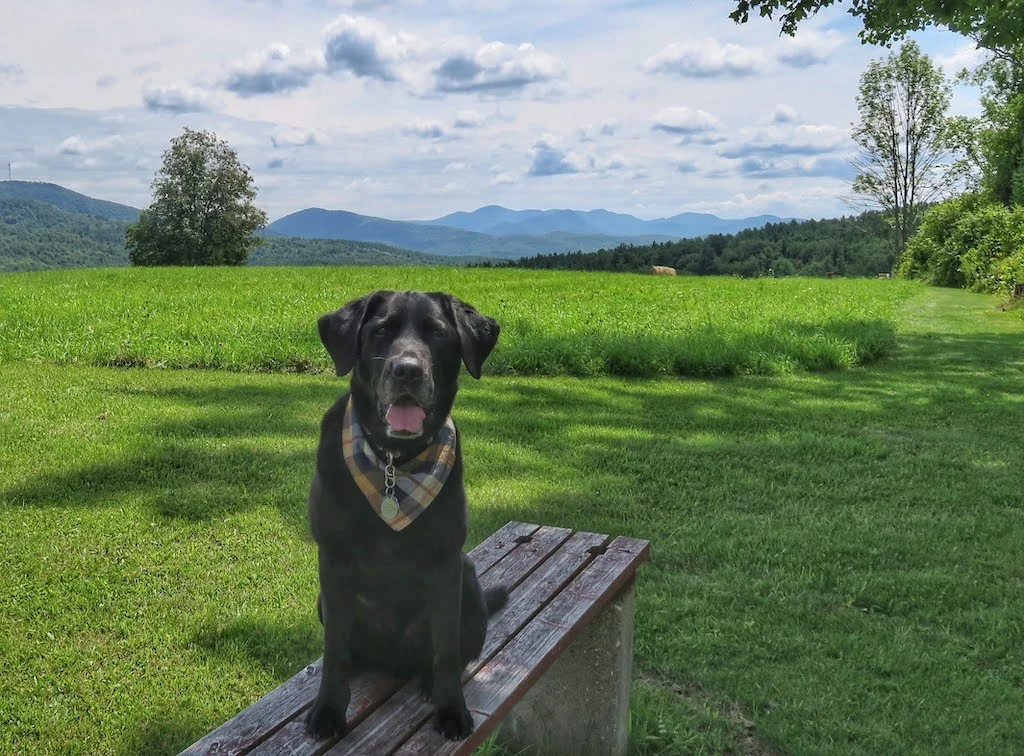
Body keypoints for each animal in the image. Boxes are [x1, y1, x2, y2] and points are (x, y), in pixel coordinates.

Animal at [305, 288, 509, 737]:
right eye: (381, 331)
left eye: (438, 333)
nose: (407, 371)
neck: (393, 464)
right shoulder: (333, 561)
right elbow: (334, 652)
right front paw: (329, 708)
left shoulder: (446, 562)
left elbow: (446, 650)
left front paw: (452, 710)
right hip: (325, 600)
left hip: (468, 580)